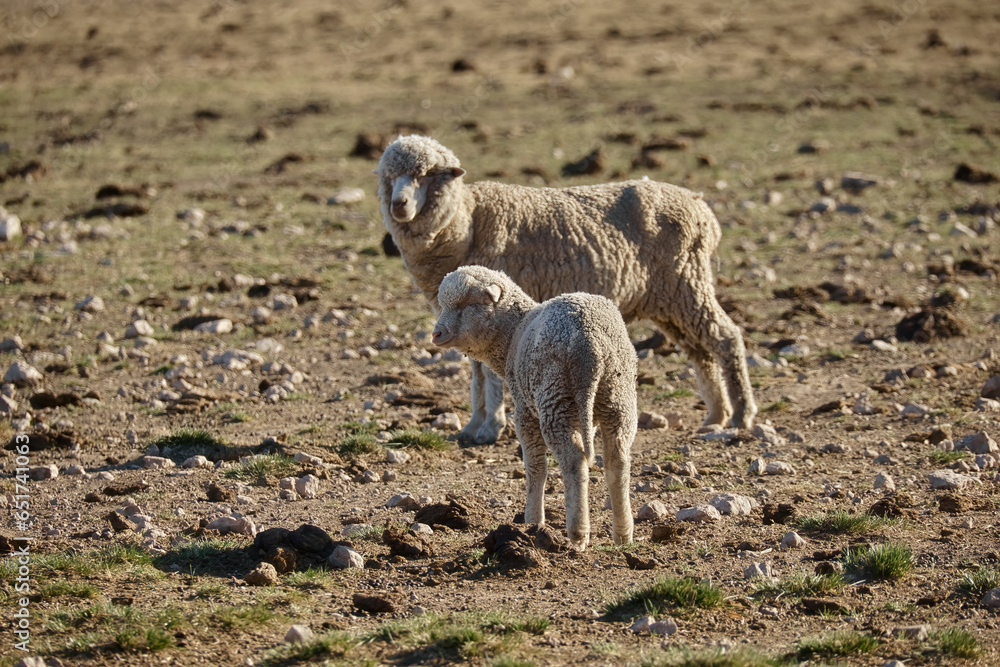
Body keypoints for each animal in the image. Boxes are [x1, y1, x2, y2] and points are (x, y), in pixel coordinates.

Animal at [378, 134, 757, 444]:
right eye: (390, 177)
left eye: (426, 174)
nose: (399, 205)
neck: (466, 222)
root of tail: (699, 205)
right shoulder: (464, 322)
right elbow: (478, 374)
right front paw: (474, 425)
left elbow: (490, 376)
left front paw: (489, 428)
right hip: (670, 298)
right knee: (701, 350)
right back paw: (716, 416)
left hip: (687, 283)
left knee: (725, 338)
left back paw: (740, 415)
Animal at [432, 265, 637, 549]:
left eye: (467, 304)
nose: (436, 334)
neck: (513, 333)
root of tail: (590, 345)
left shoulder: (524, 411)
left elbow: (535, 467)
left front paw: (531, 522)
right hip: (616, 399)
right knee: (617, 460)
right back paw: (623, 534)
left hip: (555, 399)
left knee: (573, 461)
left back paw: (578, 533)